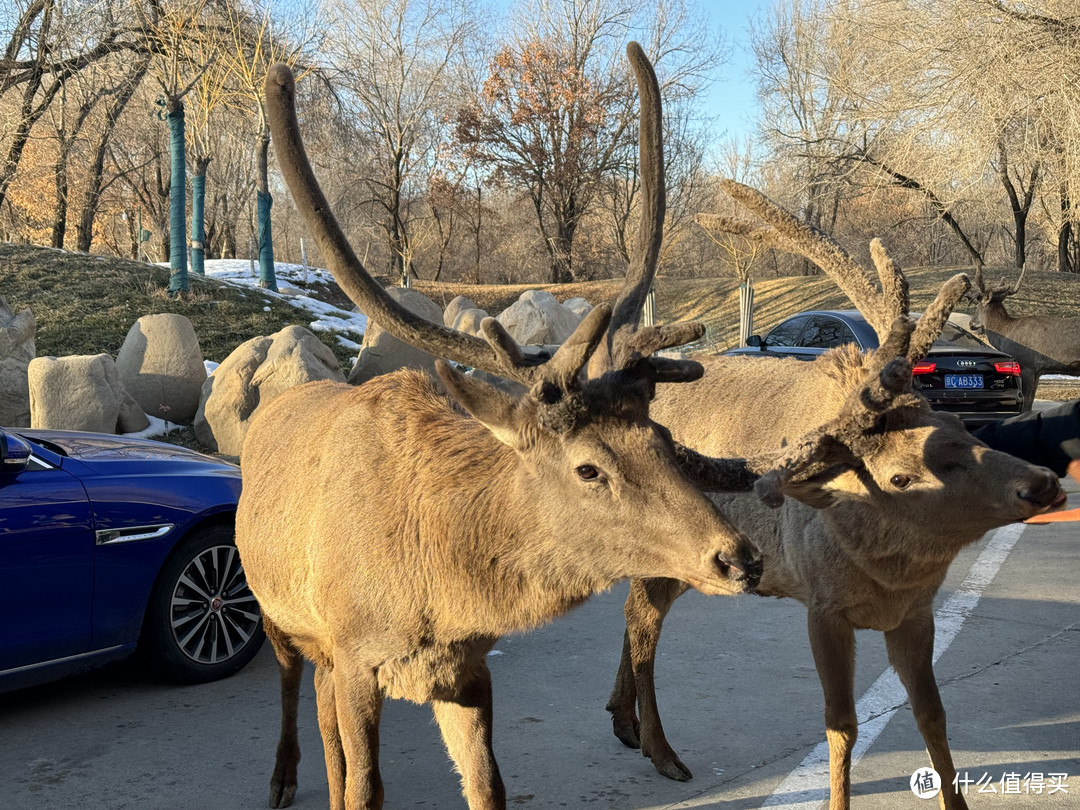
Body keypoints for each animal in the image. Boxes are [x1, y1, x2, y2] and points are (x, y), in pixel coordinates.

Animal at [240, 45, 812, 810]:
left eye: (661, 441)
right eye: (588, 467)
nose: (739, 559)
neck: (440, 591)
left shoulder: (464, 666)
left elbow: (487, 788)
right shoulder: (356, 656)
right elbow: (364, 788)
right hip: (278, 613)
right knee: (290, 681)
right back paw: (279, 777)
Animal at [604, 180, 1067, 810]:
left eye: (959, 426)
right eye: (900, 476)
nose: (1041, 481)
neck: (888, 574)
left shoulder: (916, 613)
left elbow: (933, 716)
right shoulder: (822, 607)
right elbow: (840, 726)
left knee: (636, 615)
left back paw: (623, 722)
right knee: (642, 619)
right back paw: (661, 750)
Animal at [972, 267, 1080, 412]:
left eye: (977, 306)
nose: (971, 323)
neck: (1005, 334)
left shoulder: (1027, 365)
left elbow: (1026, 401)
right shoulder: (1038, 371)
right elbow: (1030, 402)